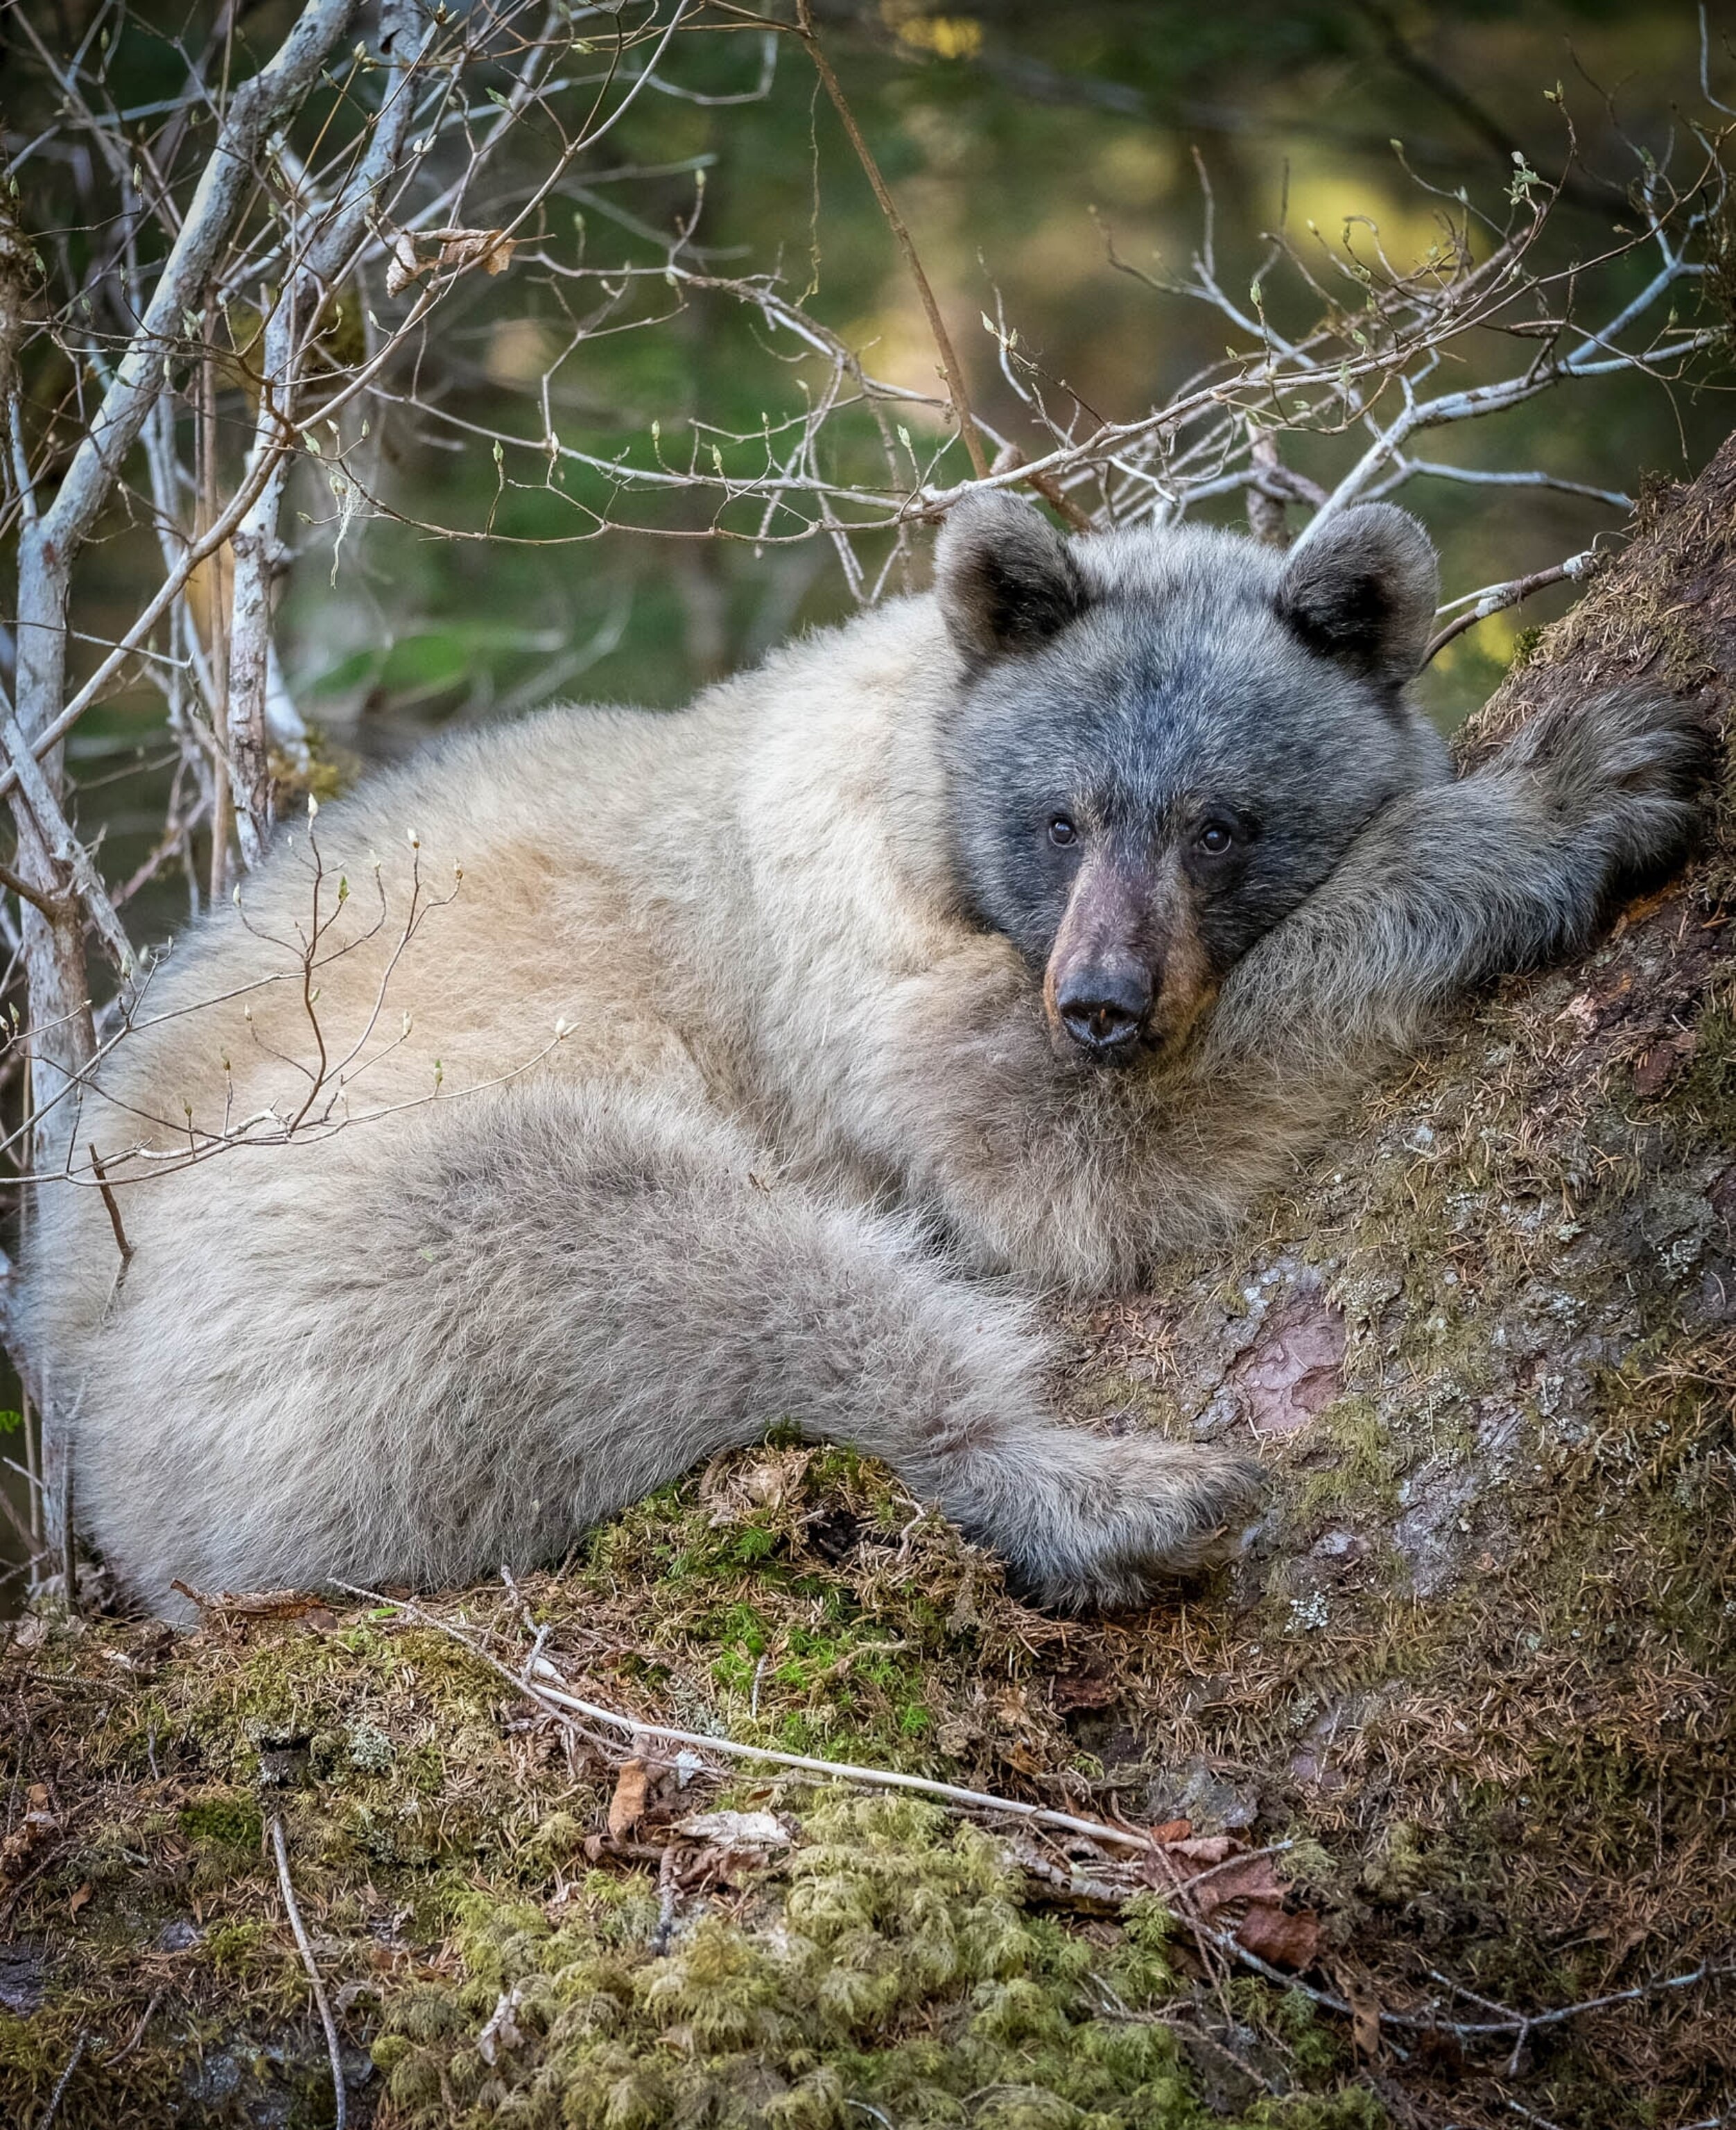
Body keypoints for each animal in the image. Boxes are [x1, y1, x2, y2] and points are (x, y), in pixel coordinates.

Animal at [20, 494, 1707, 1619]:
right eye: (1062, 814)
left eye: (1220, 821)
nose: (1103, 1005)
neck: (920, 784)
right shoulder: (845, 964)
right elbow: (1072, 1171)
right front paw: (1569, 794)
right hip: (297, 1312)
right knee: (656, 1258)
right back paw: (1108, 1490)